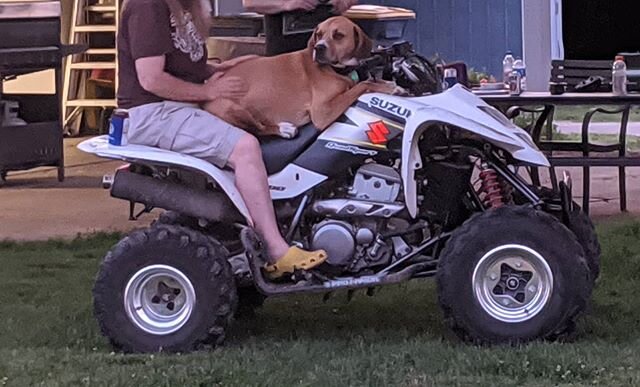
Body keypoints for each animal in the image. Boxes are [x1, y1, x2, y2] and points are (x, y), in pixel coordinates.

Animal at [202, 16, 400, 139]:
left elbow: (366, 82)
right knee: (256, 129)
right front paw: (389, 88)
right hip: (232, 108)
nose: (318, 48)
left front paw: (389, 83)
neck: (337, 70)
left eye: (338, 35)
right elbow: (363, 85)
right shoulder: (322, 111)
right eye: (318, 34)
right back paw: (283, 129)